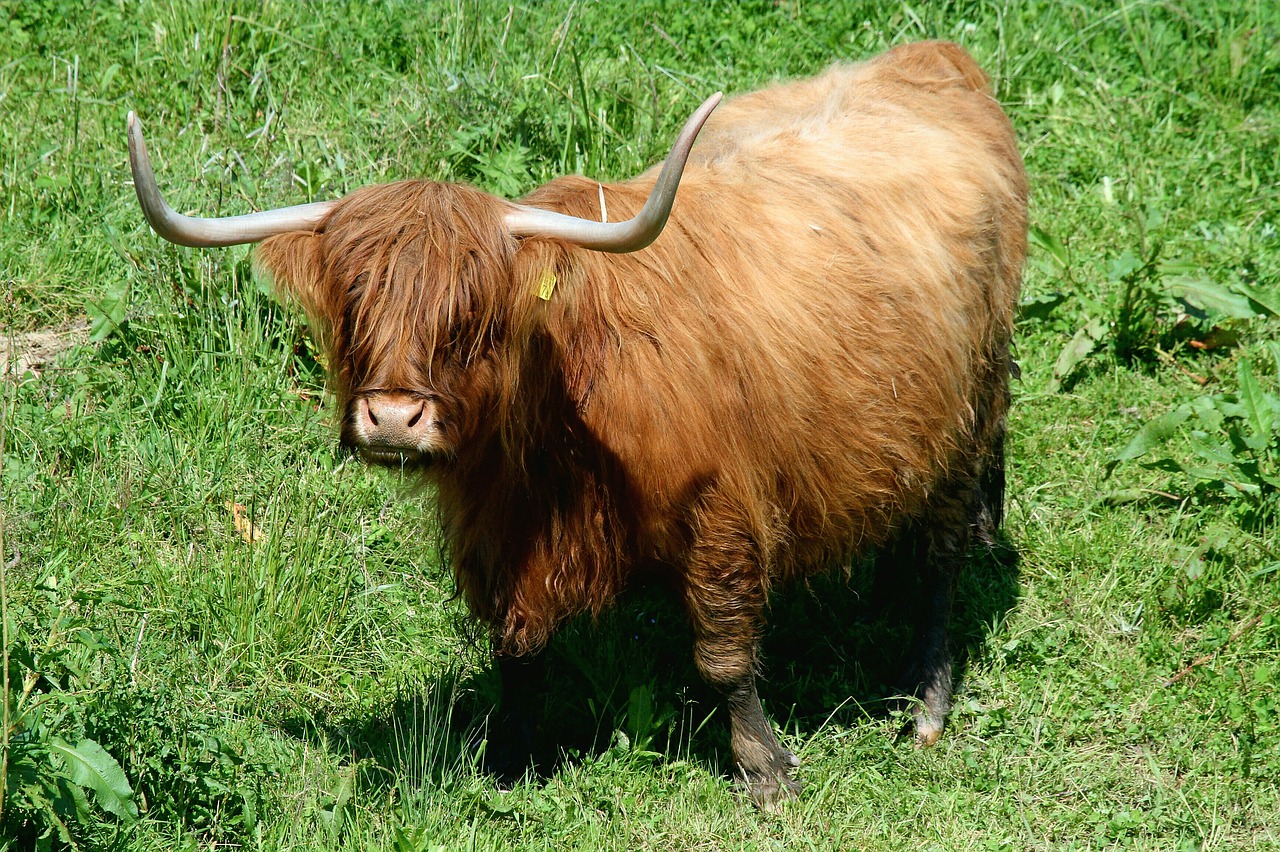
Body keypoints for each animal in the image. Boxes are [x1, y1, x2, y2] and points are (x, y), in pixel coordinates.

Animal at [127, 39, 1029, 808]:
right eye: (354, 304)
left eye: (473, 316)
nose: (392, 418)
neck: (564, 426)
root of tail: (930, 59)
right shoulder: (502, 531)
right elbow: (517, 649)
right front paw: (507, 757)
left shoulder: (722, 513)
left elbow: (723, 654)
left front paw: (765, 770)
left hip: (971, 409)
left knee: (944, 560)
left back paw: (924, 702)